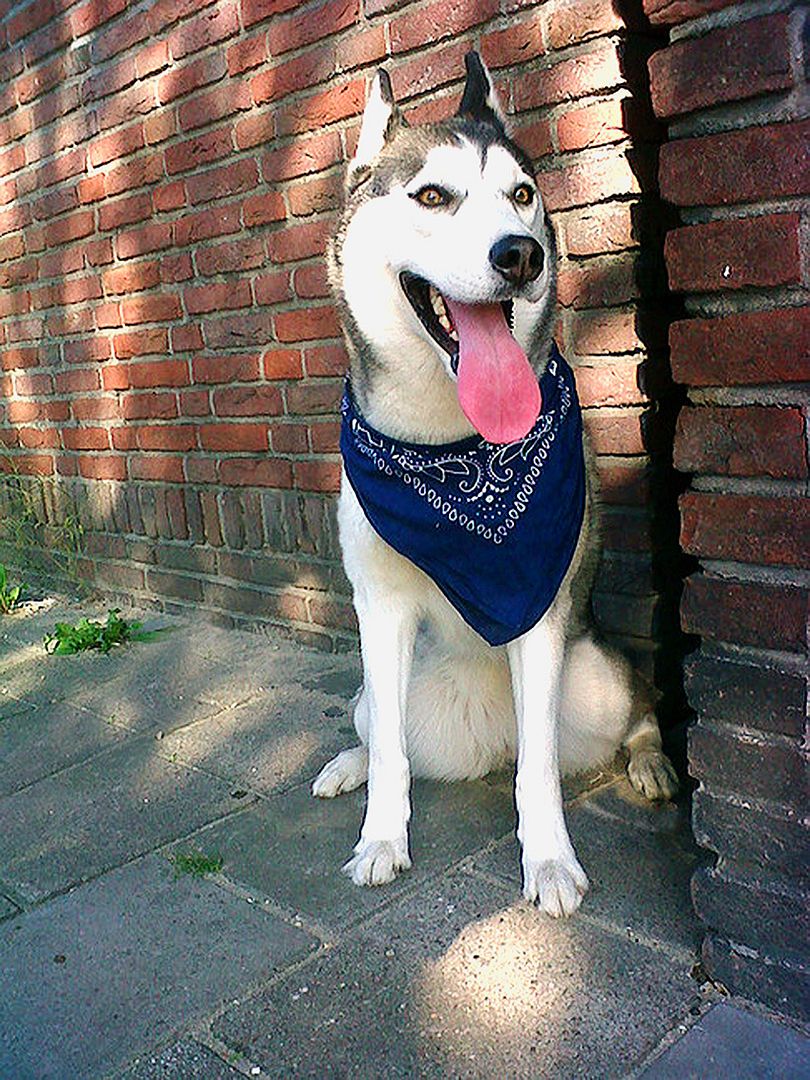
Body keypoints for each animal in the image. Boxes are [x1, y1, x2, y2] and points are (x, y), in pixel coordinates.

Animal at [312, 53, 678, 918]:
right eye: (432, 196)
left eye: (521, 195)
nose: (520, 255)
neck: (453, 447)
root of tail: (486, 732)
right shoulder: (379, 605)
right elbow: (392, 759)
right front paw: (381, 839)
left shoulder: (539, 610)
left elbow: (539, 769)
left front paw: (547, 861)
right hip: (380, 691)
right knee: (379, 729)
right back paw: (349, 764)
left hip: (596, 675)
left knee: (629, 712)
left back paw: (650, 762)